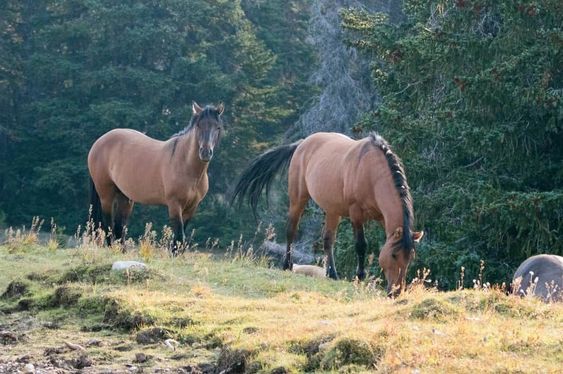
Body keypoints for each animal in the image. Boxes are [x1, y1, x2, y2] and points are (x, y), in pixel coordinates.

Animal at [88, 101, 225, 251]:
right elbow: (179, 237)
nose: (205, 152)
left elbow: (180, 241)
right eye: (199, 126)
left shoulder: (192, 207)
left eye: (217, 127)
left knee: (119, 229)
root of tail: (99, 142)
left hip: (125, 197)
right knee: (108, 227)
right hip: (106, 195)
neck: (185, 165)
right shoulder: (174, 205)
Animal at [232, 132, 424, 296]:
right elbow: (361, 245)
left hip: (332, 210)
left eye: (410, 258)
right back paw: (287, 265)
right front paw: (359, 277)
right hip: (298, 199)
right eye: (393, 255)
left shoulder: (383, 219)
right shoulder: (356, 214)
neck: (371, 173)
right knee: (291, 231)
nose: (396, 292)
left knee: (328, 240)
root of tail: (302, 144)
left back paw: (332, 274)